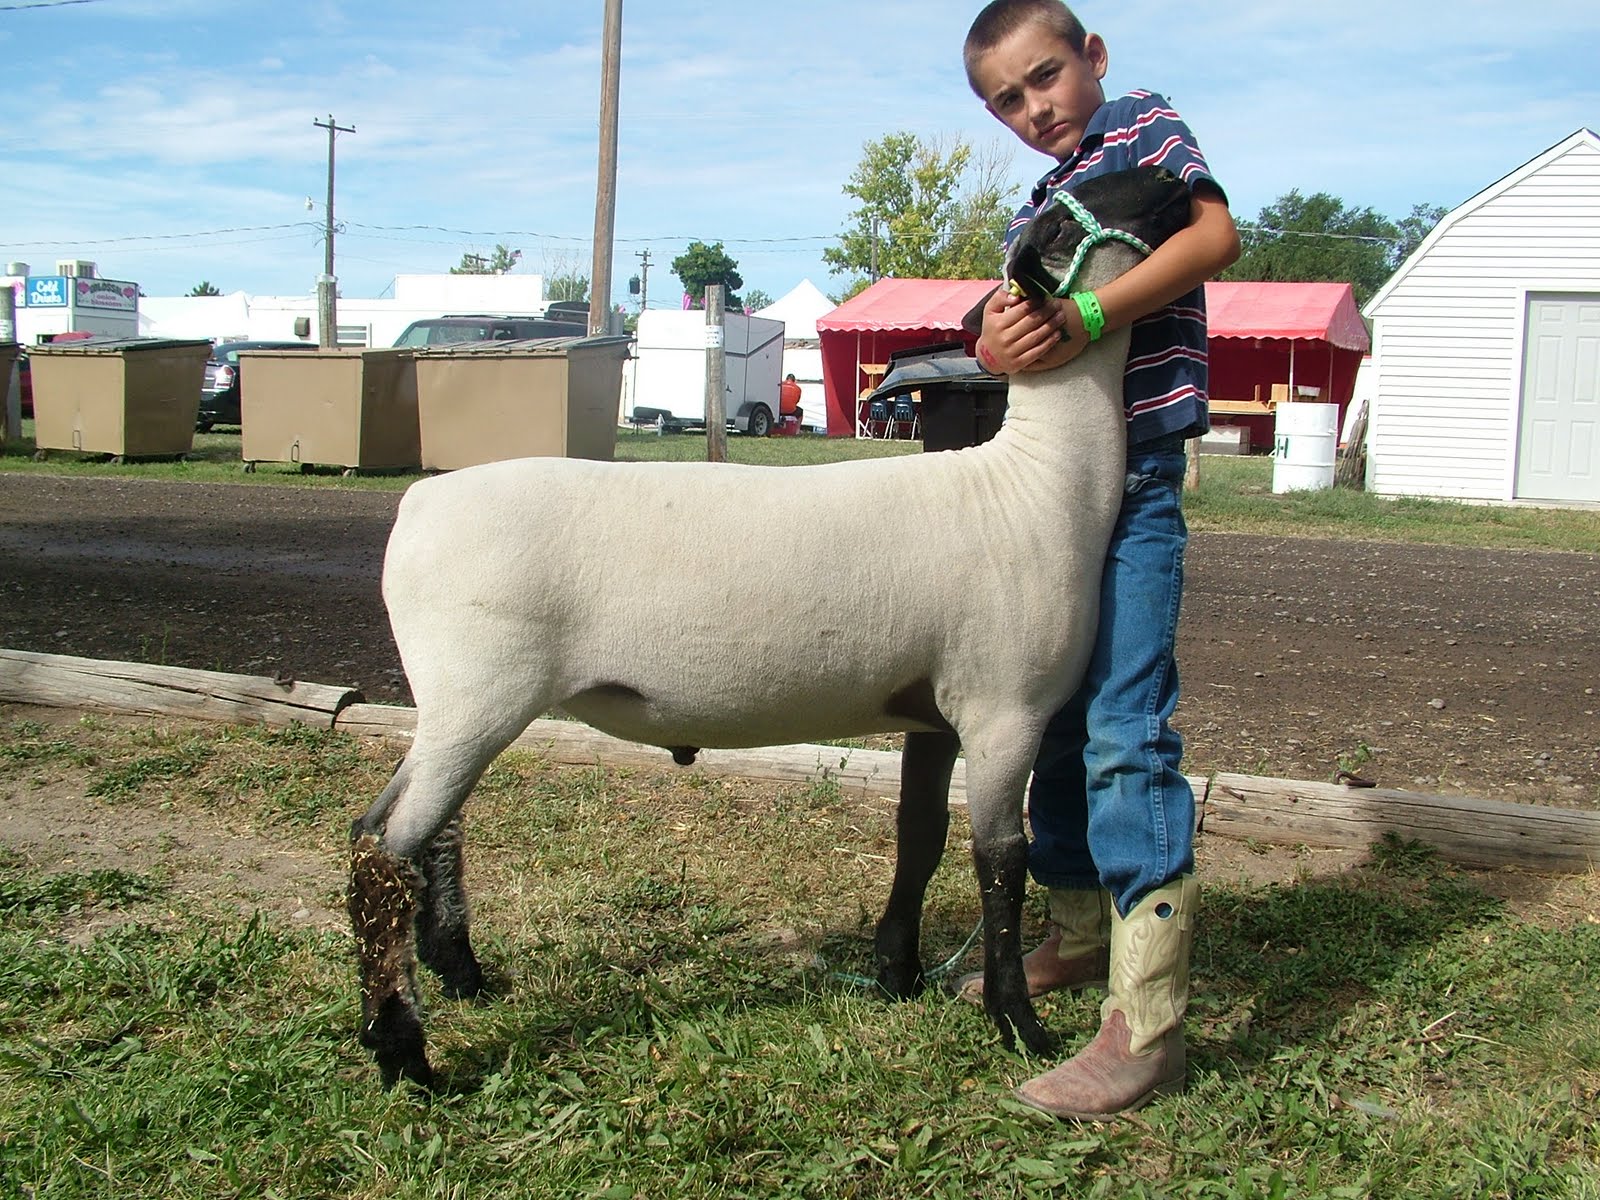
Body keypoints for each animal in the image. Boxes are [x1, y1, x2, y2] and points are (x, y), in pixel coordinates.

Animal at [349, 166, 1194, 1089]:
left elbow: (920, 838)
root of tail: (419, 505)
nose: (1182, 180)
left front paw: (896, 975)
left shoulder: (932, 713)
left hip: (461, 704)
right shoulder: (1003, 709)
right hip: (479, 694)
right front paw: (1019, 1024)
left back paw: (461, 976)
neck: (1036, 485)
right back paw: (404, 1054)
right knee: (383, 851)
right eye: (1068, 216)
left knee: (422, 833)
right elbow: (1001, 862)